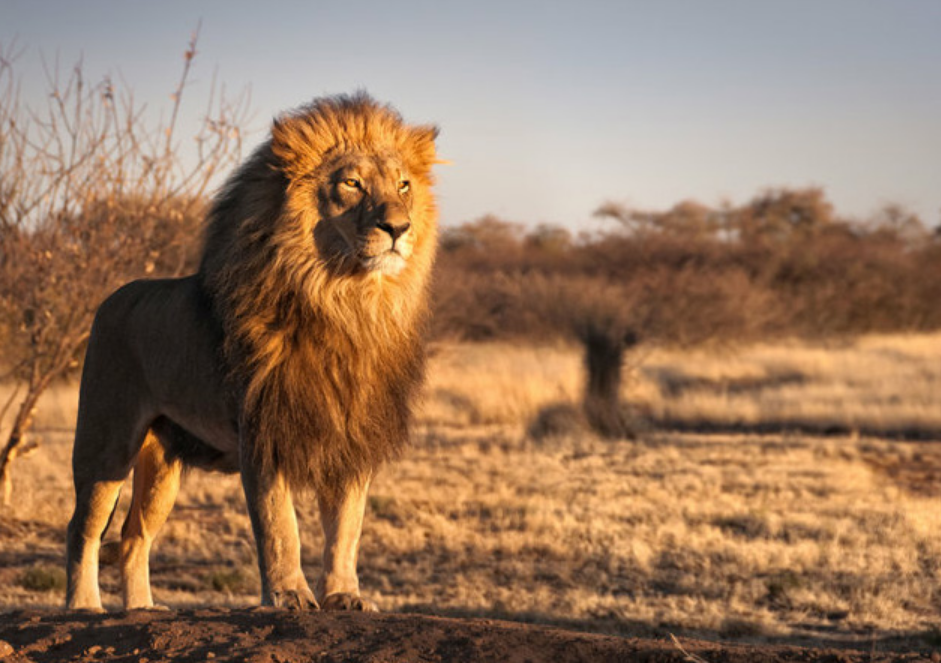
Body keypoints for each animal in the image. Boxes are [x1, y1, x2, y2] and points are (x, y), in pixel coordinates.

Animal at [66, 93, 440, 612]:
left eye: (404, 185)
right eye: (352, 183)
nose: (398, 227)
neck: (346, 303)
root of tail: (111, 298)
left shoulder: (351, 435)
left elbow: (347, 528)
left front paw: (345, 596)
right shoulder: (263, 431)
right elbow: (280, 525)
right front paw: (289, 595)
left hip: (162, 463)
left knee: (134, 535)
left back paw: (142, 608)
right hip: (107, 440)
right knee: (83, 527)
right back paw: (84, 605)